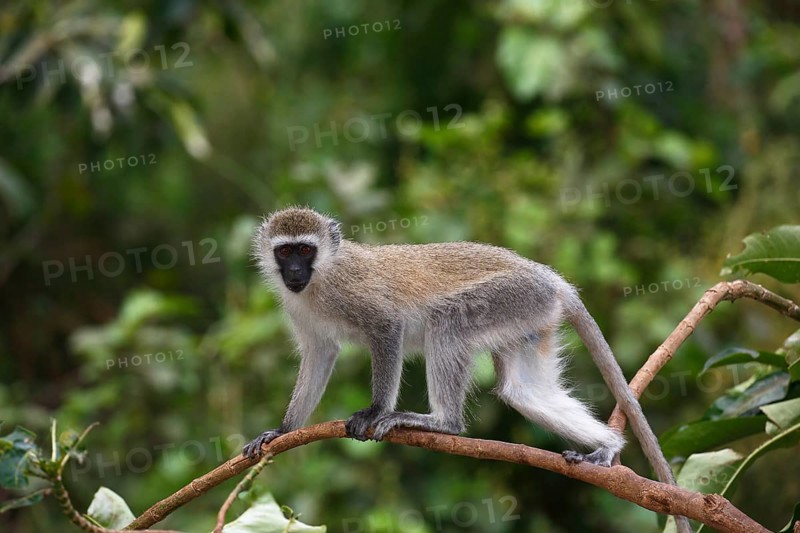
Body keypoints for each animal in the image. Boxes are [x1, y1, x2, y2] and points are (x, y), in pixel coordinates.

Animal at [242, 206, 690, 530]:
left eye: (305, 250)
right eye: (285, 251)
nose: (294, 273)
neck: (319, 280)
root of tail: (549, 277)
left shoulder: (357, 296)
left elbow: (388, 329)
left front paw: (374, 411)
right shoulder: (302, 313)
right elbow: (320, 354)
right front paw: (283, 430)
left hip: (511, 296)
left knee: (449, 322)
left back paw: (443, 423)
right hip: (533, 315)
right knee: (523, 392)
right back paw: (608, 447)